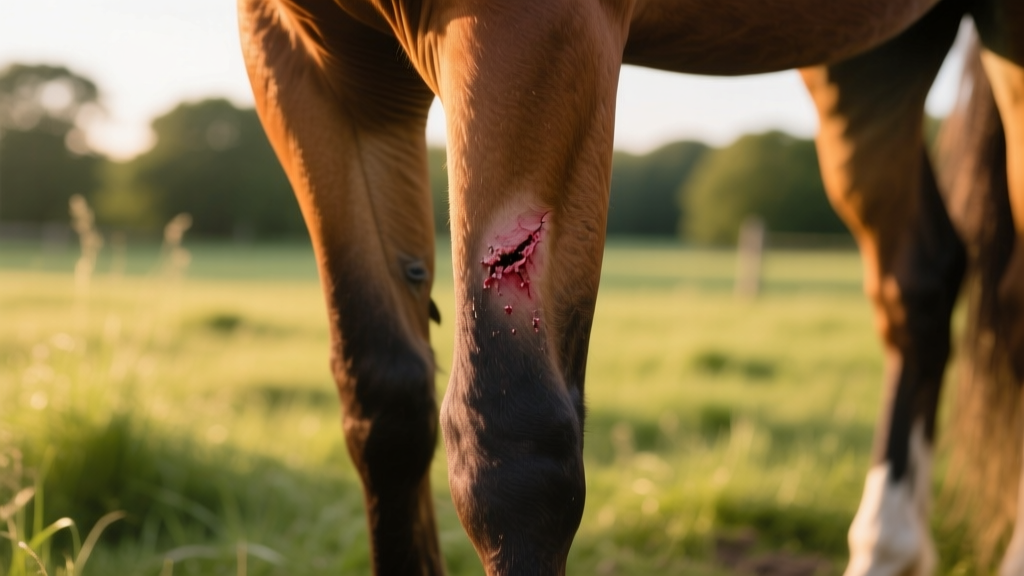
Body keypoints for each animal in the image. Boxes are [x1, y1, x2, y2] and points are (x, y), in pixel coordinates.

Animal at [235, 0, 1023, 573]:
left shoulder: (533, 28)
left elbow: (512, 444)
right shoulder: (298, 54)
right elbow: (386, 404)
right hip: (868, 63)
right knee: (920, 282)